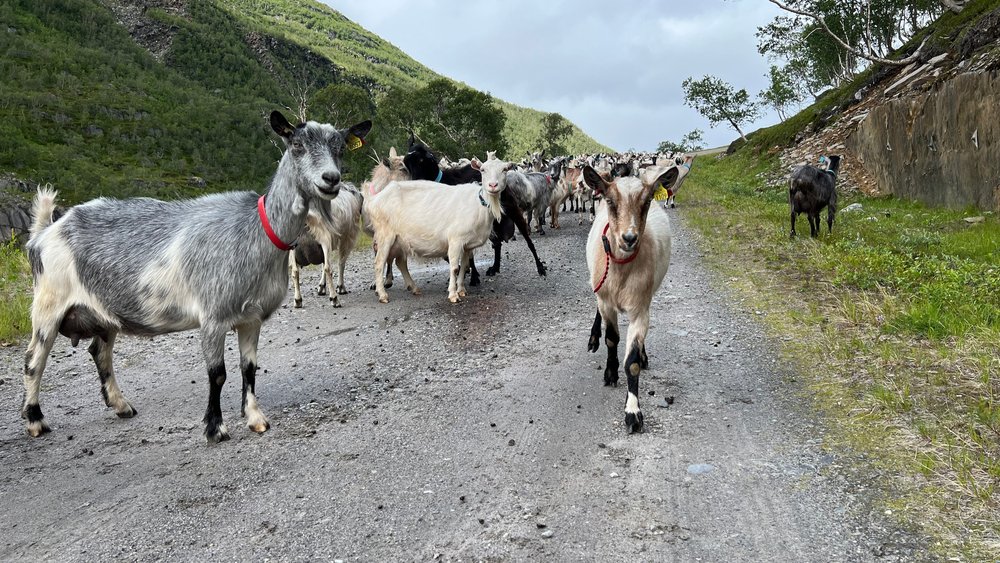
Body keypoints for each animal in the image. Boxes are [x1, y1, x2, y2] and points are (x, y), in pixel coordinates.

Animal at [24, 111, 376, 446]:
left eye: (340, 148)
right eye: (297, 144)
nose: (331, 179)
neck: (257, 231)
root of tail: (44, 233)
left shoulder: (252, 318)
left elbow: (249, 368)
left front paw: (255, 418)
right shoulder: (213, 316)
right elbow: (217, 374)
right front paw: (215, 428)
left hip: (103, 312)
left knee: (99, 352)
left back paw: (122, 406)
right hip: (49, 304)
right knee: (33, 361)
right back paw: (36, 420)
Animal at [584, 164, 680, 436]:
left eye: (646, 202)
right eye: (610, 201)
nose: (629, 238)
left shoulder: (640, 308)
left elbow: (633, 362)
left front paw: (633, 413)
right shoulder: (606, 301)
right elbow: (611, 339)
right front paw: (610, 372)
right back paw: (593, 338)